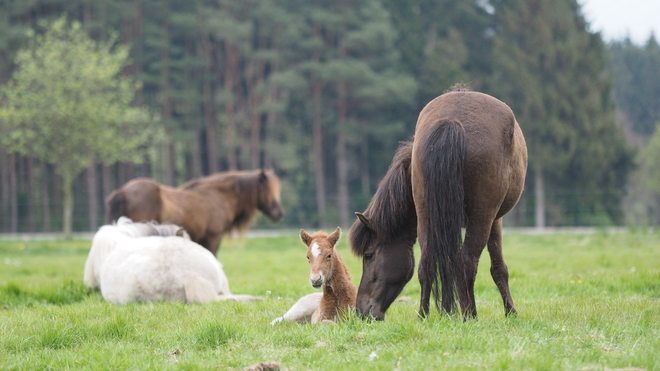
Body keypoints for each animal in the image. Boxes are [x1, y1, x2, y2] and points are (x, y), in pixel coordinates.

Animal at [350, 91, 524, 322]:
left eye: (369, 255)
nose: (361, 311)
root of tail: (452, 119)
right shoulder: (495, 219)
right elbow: (499, 268)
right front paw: (511, 311)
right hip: (481, 217)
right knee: (466, 262)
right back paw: (469, 314)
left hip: (426, 214)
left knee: (427, 263)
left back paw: (423, 315)